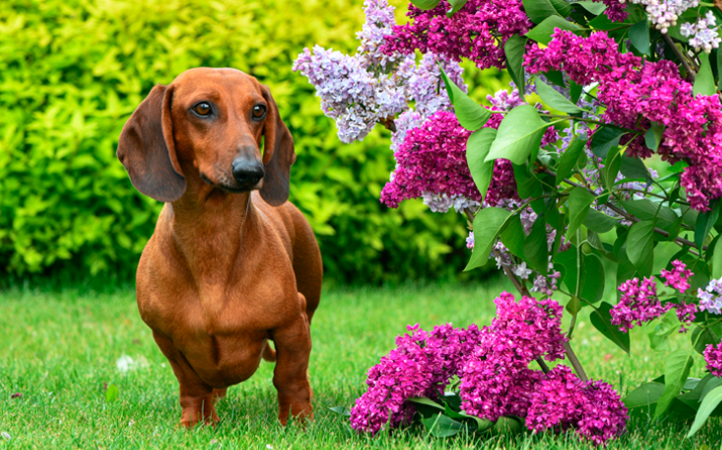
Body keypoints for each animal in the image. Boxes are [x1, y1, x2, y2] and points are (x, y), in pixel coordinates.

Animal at [114, 67, 320, 428]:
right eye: (202, 108)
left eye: (258, 110)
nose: (252, 172)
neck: (212, 238)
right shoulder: (165, 338)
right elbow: (192, 383)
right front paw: (195, 423)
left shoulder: (292, 324)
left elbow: (289, 377)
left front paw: (298, 421)